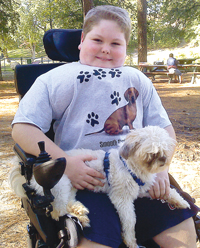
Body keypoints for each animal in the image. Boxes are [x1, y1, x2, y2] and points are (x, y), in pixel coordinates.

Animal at [9, 126, 191, 248]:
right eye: (152, 153)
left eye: (165, 149)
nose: (163, 160)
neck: (131, 167)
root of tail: (31, 173)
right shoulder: (122, 199)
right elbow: (130, 221)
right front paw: (131, 241)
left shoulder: (142, 190)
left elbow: (171, 192)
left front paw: (181, 202)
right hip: (60, 185)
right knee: (58, 211)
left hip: (70, 188)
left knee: (67, 204)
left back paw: (80, 213)